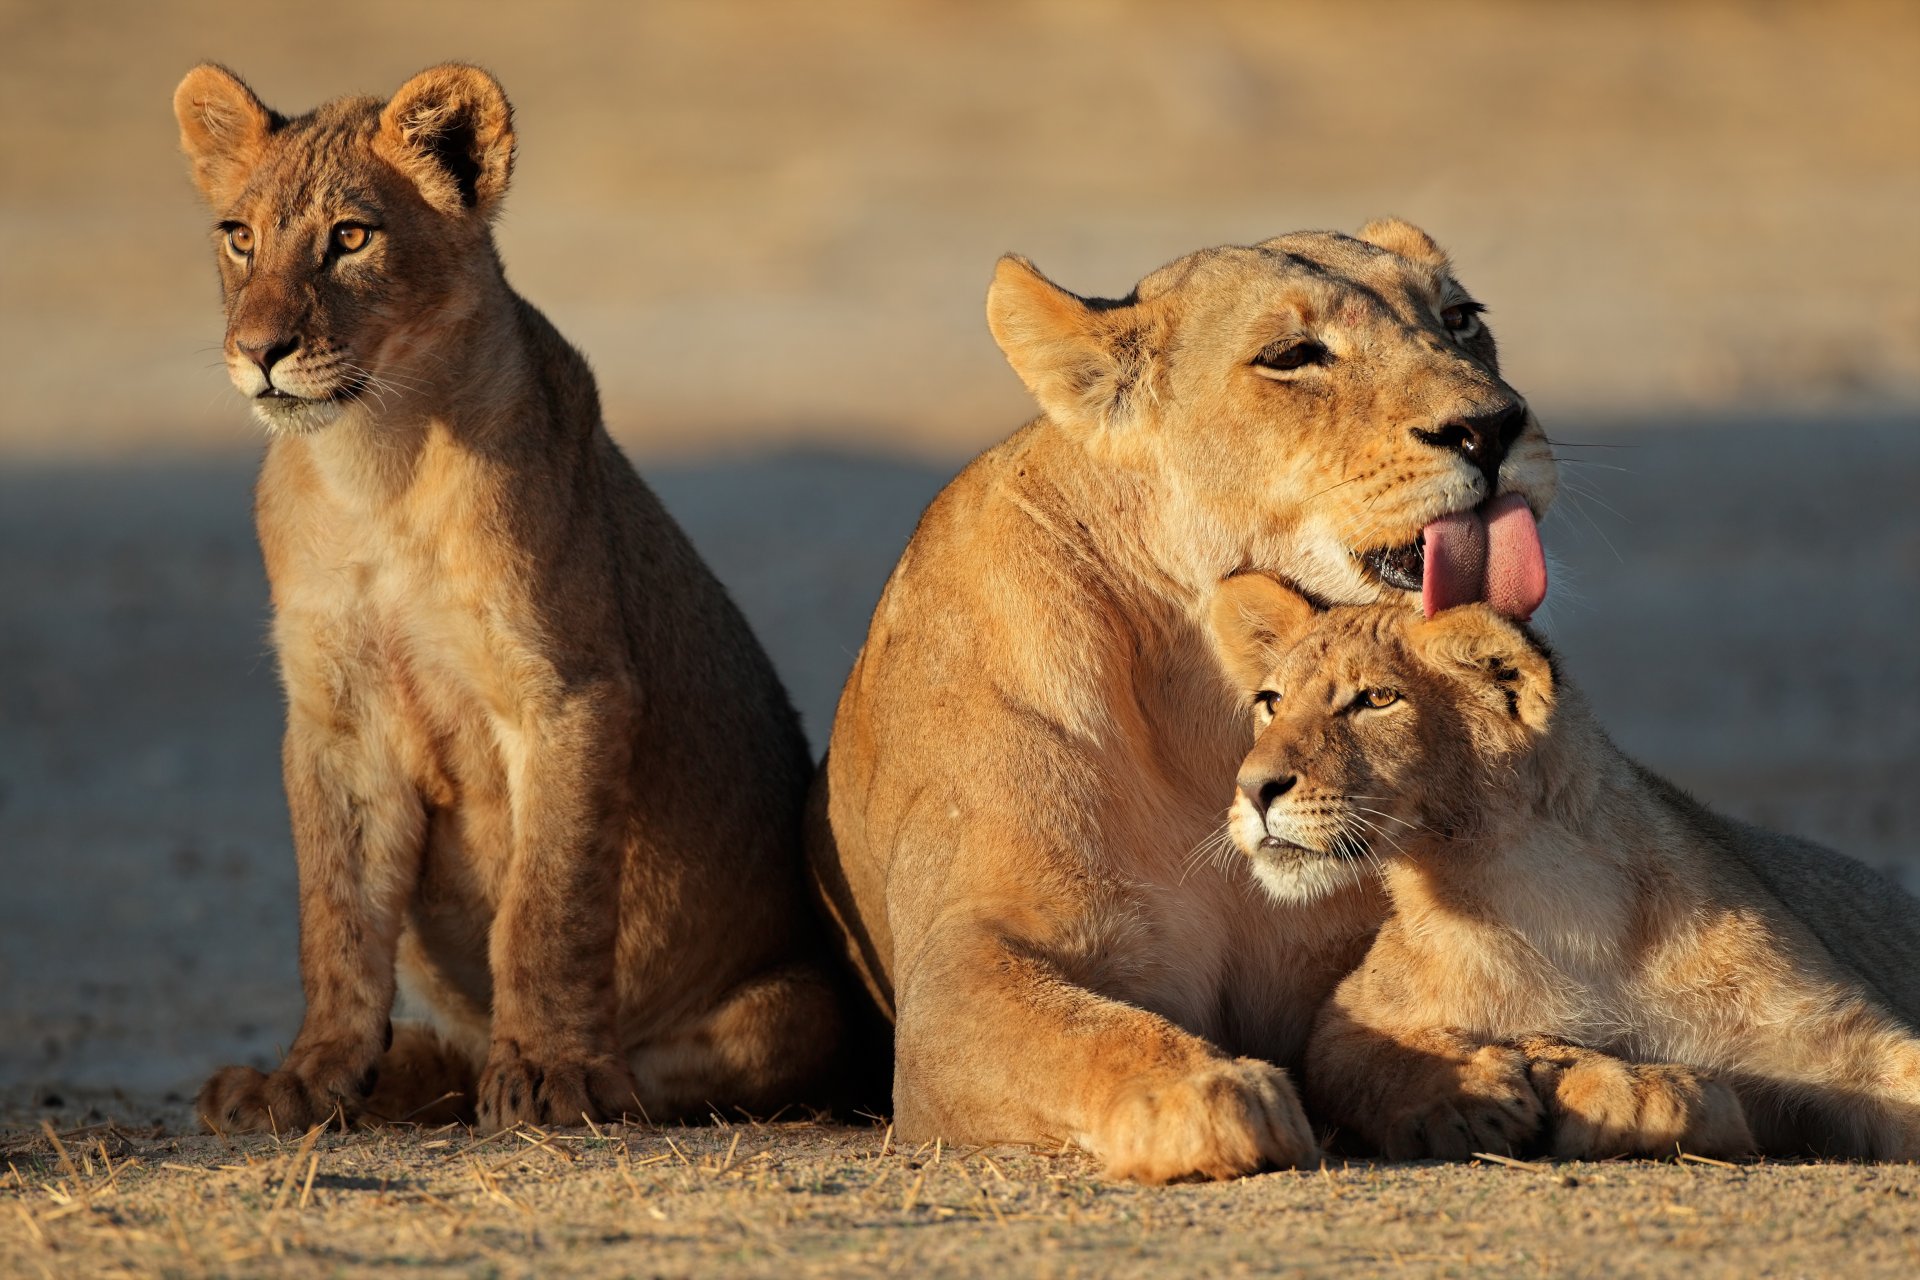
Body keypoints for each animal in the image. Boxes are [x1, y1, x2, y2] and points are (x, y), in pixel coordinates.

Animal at [173, 63, 845, 1133]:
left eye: (351, 237)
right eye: (239, 235)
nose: (260, 350)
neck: (376, 467)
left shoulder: (569, 692)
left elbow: (547, 902)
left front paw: (549, 1073)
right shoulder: (335, 716)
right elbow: (335, 918)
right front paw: (306, 1079)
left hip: (805, 1005)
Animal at [806, 221, 1561, 1181]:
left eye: (1460, 318)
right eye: (1293, 355)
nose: (1493, 427)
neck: (1211, 703)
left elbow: (1378, 1012)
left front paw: (1463, 1083)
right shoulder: (960, 971)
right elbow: (1082, 1031)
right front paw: (1206, 1093)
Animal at [1208, 573, 1920, 1161]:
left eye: (1377, 699)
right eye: (1271, 701)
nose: (1253, 788)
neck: (1554, 900)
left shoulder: (1840, 1038)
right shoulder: (1351, 1012)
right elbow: (1372, 1056)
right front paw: (1468, 1098)